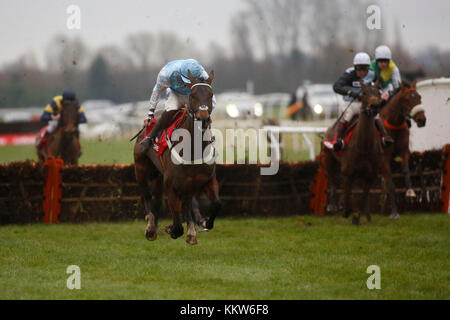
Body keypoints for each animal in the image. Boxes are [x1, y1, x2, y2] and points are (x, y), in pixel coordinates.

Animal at [134, 70, 222, 245]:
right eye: (193, 95)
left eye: (211, 94)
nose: (203, 118)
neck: (193, 148)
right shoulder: (171, 185)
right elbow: (176, 218)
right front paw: (172, 229)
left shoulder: (207, 180)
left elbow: (216, 203)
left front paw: (205, 223)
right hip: (141, 169)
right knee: (147, 196)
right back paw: (151, 228)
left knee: (177, 202)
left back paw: (191, 231)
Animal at [324, 81, 384, 224]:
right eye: (364, 93)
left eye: (378, 92)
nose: (374, 106)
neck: (364, 146)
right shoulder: (348, 173)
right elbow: (348, 193)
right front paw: (346, 210)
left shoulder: (370, 175)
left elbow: (363, 196)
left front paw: (358, 216)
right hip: (328, 158)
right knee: (332, 178)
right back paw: (333, 205)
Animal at [380, 81, 426, 219]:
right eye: (407, 99)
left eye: (419, 97)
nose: (422, 120)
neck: (393, 124)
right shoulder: (384, 157)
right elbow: (390, 183)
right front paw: (394, 213)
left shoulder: (404, 151)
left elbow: (406, 170)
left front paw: (410, 192)